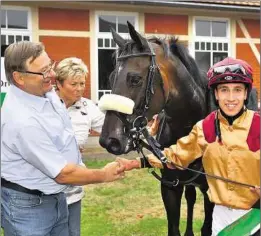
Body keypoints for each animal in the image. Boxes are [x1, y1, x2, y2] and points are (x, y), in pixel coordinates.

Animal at [97, 21, 213, 235]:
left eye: (135, 79)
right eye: (110, 78)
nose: (110, 140)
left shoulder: (212, 190)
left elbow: (208, 228)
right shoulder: (170, 188)